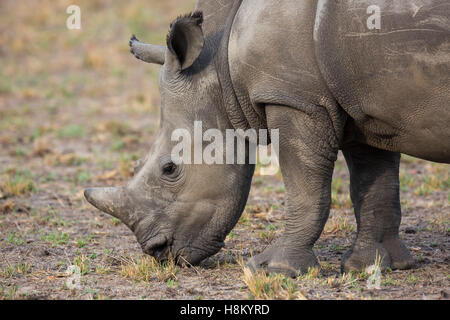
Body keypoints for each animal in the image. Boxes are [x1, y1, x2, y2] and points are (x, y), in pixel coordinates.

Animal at [84, 0, 450, 278]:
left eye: (170, 169)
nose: (158, 252)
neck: (219, 65)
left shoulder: (295, 99)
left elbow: (305, 188)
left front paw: (274, 269)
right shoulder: (359, 103)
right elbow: (373, 185)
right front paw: (374, 267)